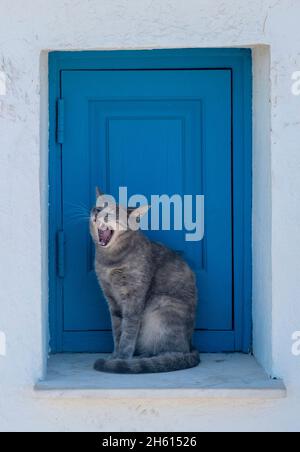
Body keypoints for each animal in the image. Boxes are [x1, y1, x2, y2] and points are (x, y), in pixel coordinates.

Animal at [90, 188, 200, 374]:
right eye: (97, 207)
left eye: (112, 212)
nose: (96, 212)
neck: (110, 261)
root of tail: (191, 345)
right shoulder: (111, 299)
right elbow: (117, 331)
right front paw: (115, 355)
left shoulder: (134, 298)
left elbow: (128, 332)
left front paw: (121, 358)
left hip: (162, 306)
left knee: (172, 351)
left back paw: (146, 358)